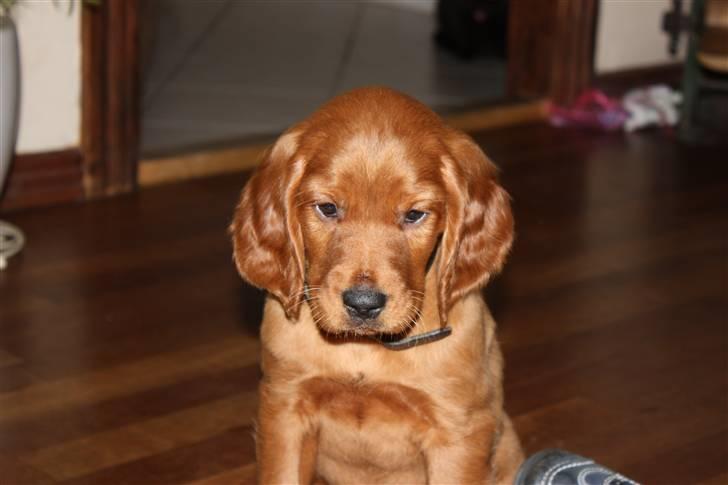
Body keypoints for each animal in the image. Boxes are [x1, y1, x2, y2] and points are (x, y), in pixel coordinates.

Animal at [230, 87, 520, 484]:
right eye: (327, 208)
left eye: (414, 215)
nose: (363, 304)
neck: (364, 350)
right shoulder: (284, 406)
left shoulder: (458, 430)